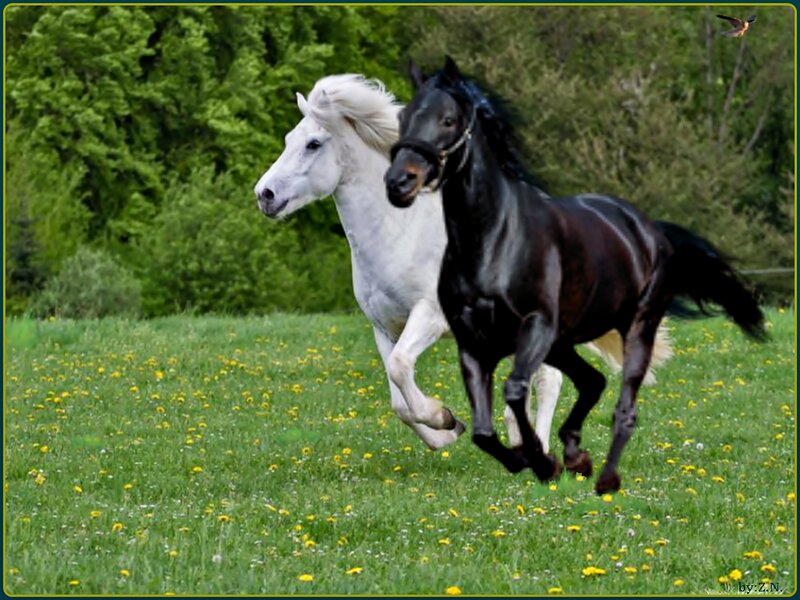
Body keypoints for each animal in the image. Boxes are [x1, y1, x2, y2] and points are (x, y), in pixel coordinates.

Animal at [253, 74, 671, 454]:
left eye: (313, 144)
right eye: (289, 140)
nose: (264, 195)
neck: (398, 233)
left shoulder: (430, 315)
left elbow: (401, 367)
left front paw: (443, 418)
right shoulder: (384, 327)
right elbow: (398, 399)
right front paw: (446, 432)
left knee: (548, 381)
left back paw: (538, 449)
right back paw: (518, 437)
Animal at [385, 57, 766, 494]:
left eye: (447, 120)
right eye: (403, 117)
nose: (399, 182)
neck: (493, 241)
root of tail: (649, 229)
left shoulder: (534, 329)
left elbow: (515, 391)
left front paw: (539, 459)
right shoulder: (474, 344)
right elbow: (482, 431)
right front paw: (532, 459)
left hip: (634, 329)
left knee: (623, 406)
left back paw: (605, 478)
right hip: (562, 343)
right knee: (592, 382)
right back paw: (574, 455)